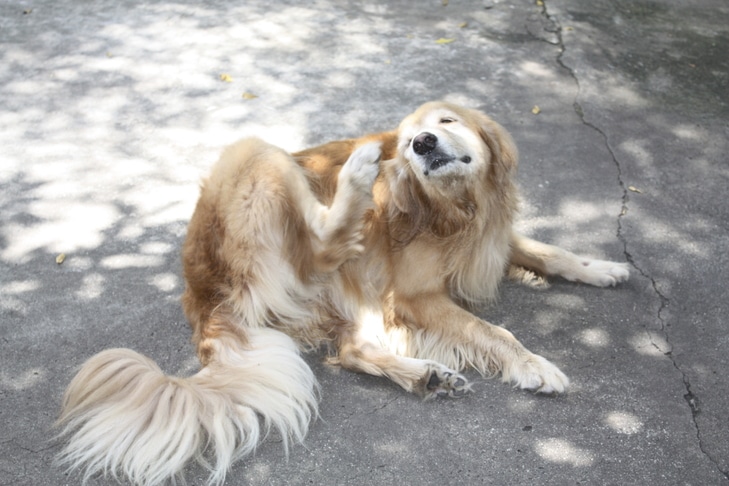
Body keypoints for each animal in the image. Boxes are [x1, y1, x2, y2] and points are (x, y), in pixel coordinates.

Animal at [57, 100, 628, 484]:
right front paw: (534, 365)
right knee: (321, 246)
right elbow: (494, 331)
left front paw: (601, 267)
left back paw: (425, 376)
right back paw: (355, 175)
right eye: (410, 140)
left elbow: (550, 251)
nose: (419, 145)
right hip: (257, 158)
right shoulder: (416, 296)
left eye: (446, 121)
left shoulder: (491, 241)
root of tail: (201, 294)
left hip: (350, 292)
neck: (455, 208)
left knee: (352, 350)